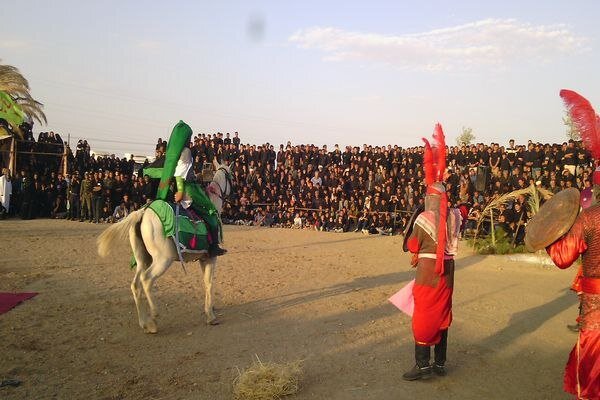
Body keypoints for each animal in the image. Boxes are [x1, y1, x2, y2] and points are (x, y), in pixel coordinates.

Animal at [97, 162, 231, 334]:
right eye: (231, 175)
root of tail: (143, 212)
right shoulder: (211, 258)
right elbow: (209, 283)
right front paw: (211, 316)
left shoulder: (203, 258)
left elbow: (206, 283)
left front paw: (210, 311)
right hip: (162, 260)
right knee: (146, 280)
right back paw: (153, 319)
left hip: (143, 259)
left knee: (136, 285)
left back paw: (144, 322)